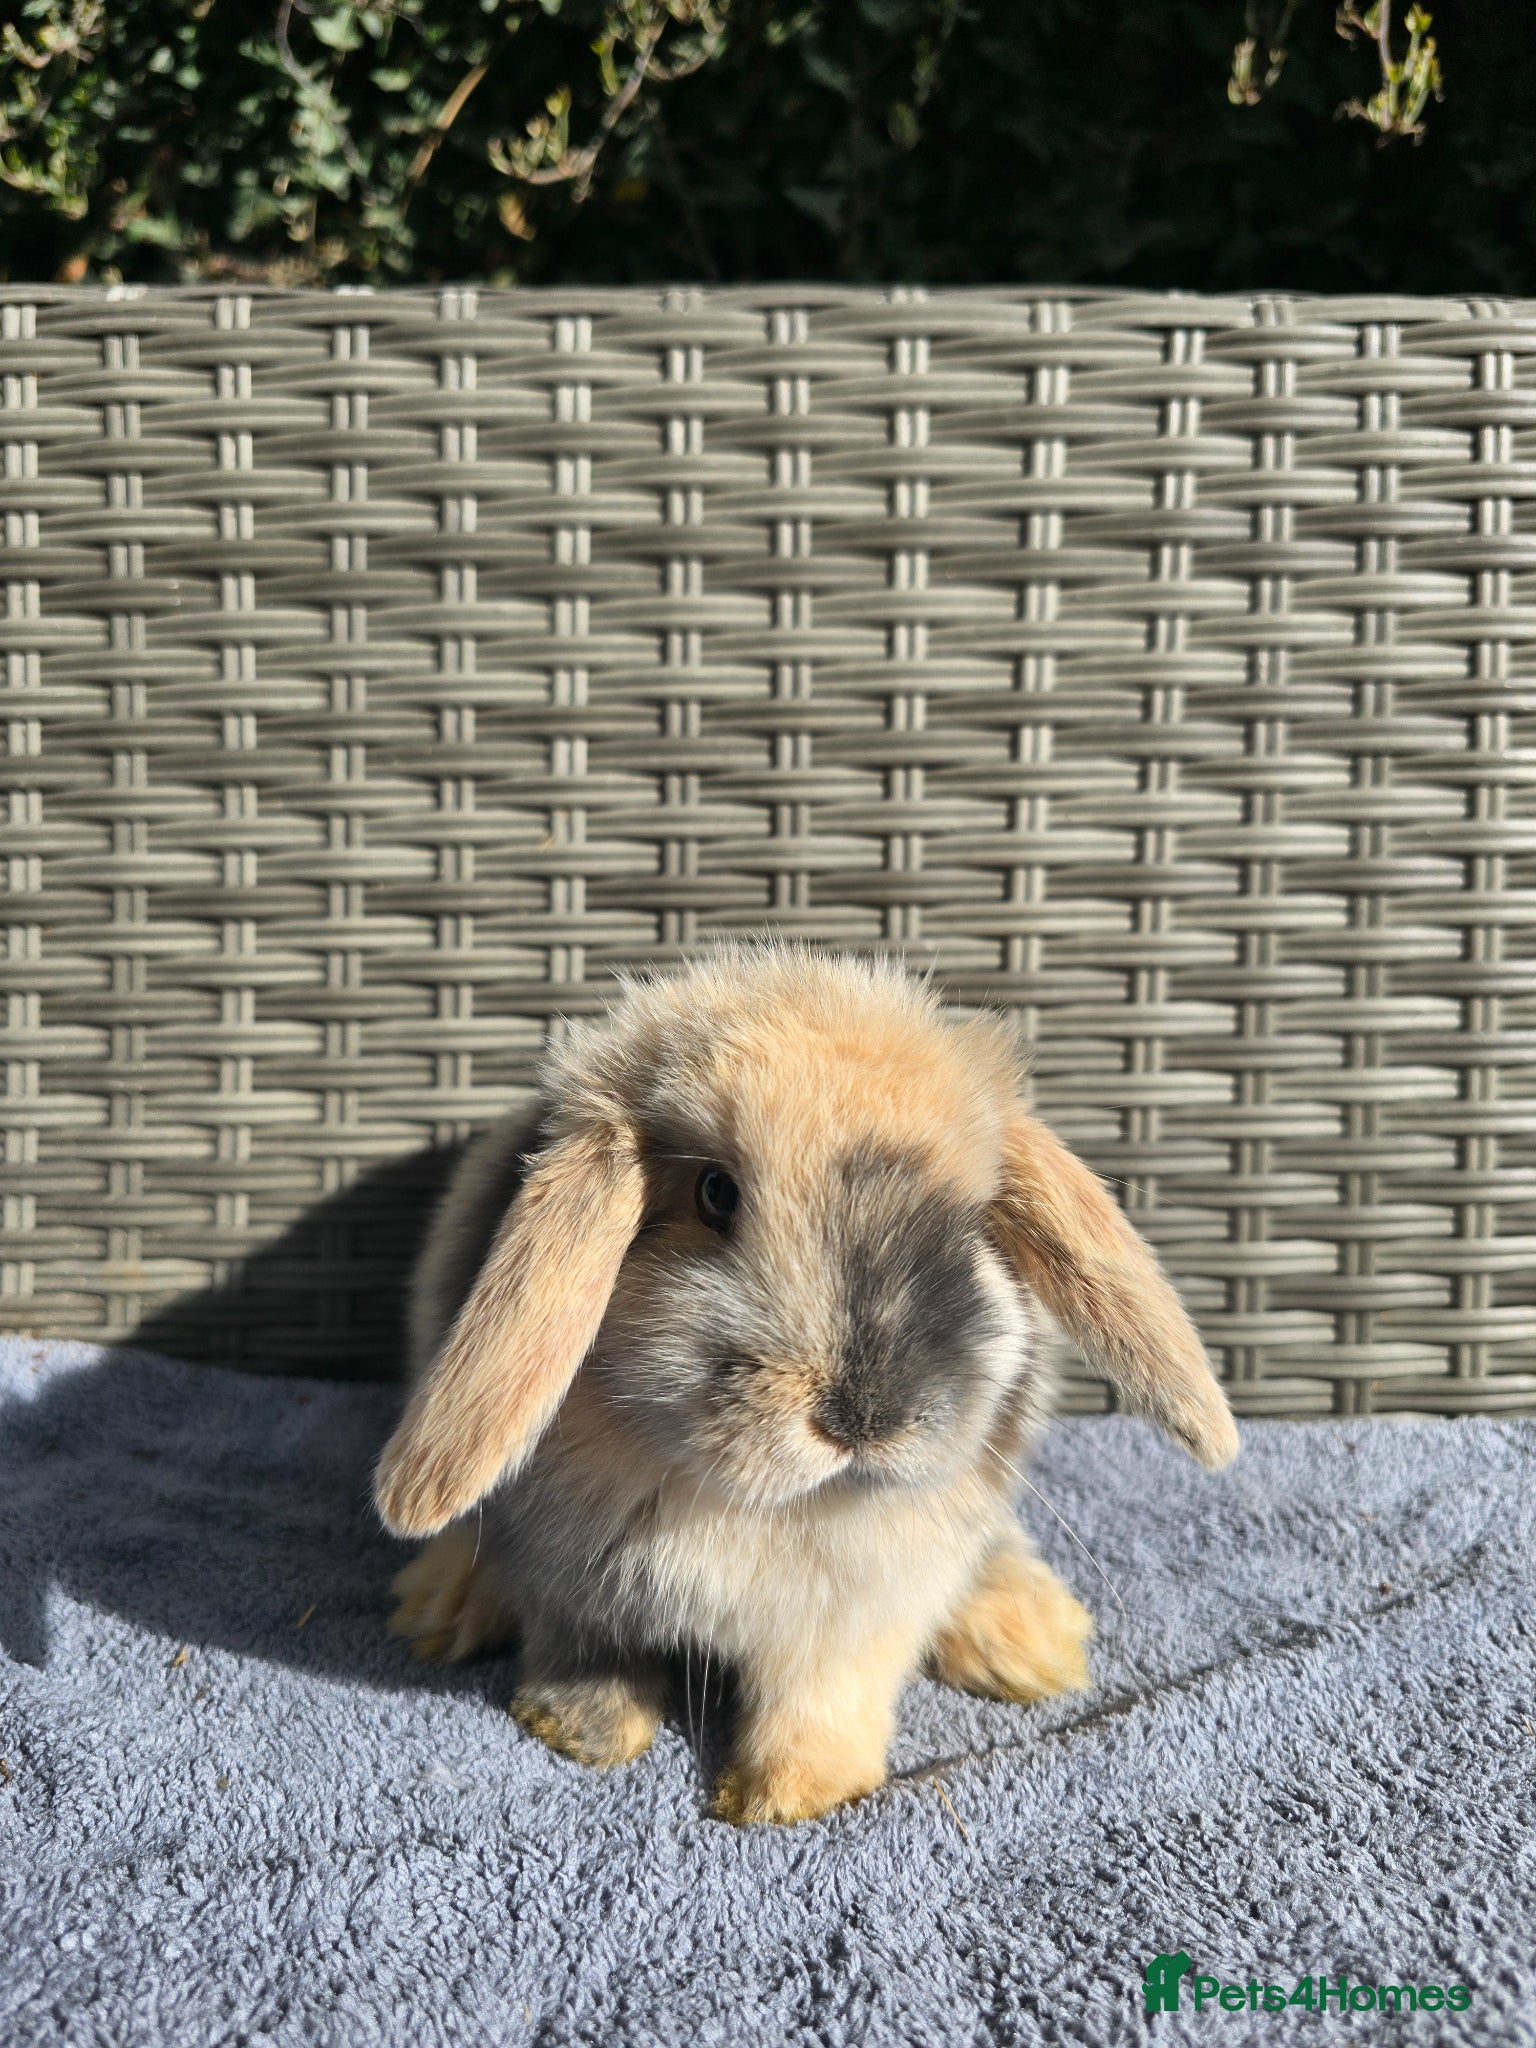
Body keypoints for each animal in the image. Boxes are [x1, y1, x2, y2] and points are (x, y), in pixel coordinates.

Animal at [375, 943, 1238, 1825]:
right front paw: (586, 1731)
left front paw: (791, 1795)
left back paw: (1033, 1641)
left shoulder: (861, 1612)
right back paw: (440, 1607)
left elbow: (823, 1696)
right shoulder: (564, 1577)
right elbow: (584, 1652)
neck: (765, 1508)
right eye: (714, 1193)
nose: (866, 1417)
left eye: (969, 1221)